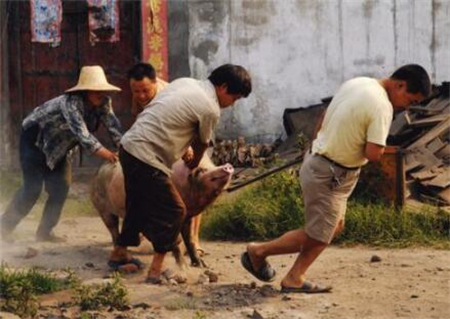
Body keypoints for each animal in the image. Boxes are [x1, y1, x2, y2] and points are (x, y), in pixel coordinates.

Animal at [90, 155, 234, 268]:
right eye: (200, 171)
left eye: (213, 165)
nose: (227, 165)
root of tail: (97, 171)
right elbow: (175, 239)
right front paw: (181, 265)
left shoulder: (188, 216)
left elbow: (189, 239)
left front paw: (201, 265)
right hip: (102, 207)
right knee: (113, 229)